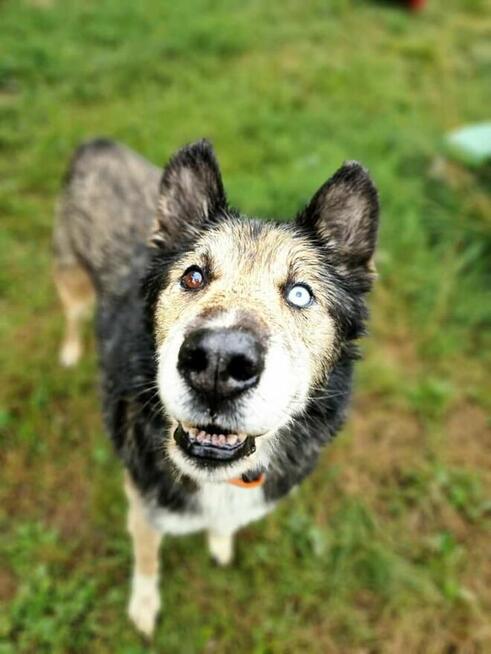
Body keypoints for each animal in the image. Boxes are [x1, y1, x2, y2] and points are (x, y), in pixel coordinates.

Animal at [52, 137, 380, 636]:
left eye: (300, 293)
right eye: (193, 276)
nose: (219, 364)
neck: (219, 480)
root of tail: (97, 144)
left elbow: (225, 528)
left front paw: (221, 544)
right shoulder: (143, 509)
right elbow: (147, 562)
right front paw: (143, 608)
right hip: (71, 280)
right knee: (71, 315)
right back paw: (70, 352)